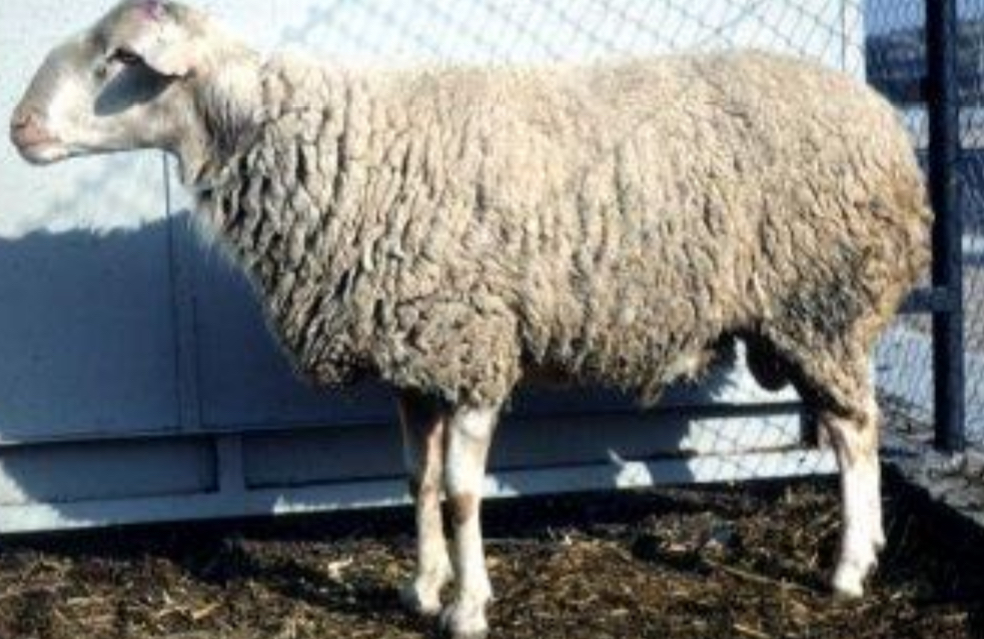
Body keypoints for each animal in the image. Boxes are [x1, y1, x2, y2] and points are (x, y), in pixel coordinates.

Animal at [10, 1, 931, 637]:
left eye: (119, 58)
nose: (18, 126)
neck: (319, 146)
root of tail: (884, 119)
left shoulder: (474, 347)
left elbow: (458, 493)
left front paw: (468, 606)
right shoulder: (414, 360)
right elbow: (414, 481)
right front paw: (421, 588)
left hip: (821, 302)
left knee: (858, 430)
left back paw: (850, 566)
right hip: (803, 318)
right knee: (843, 428)